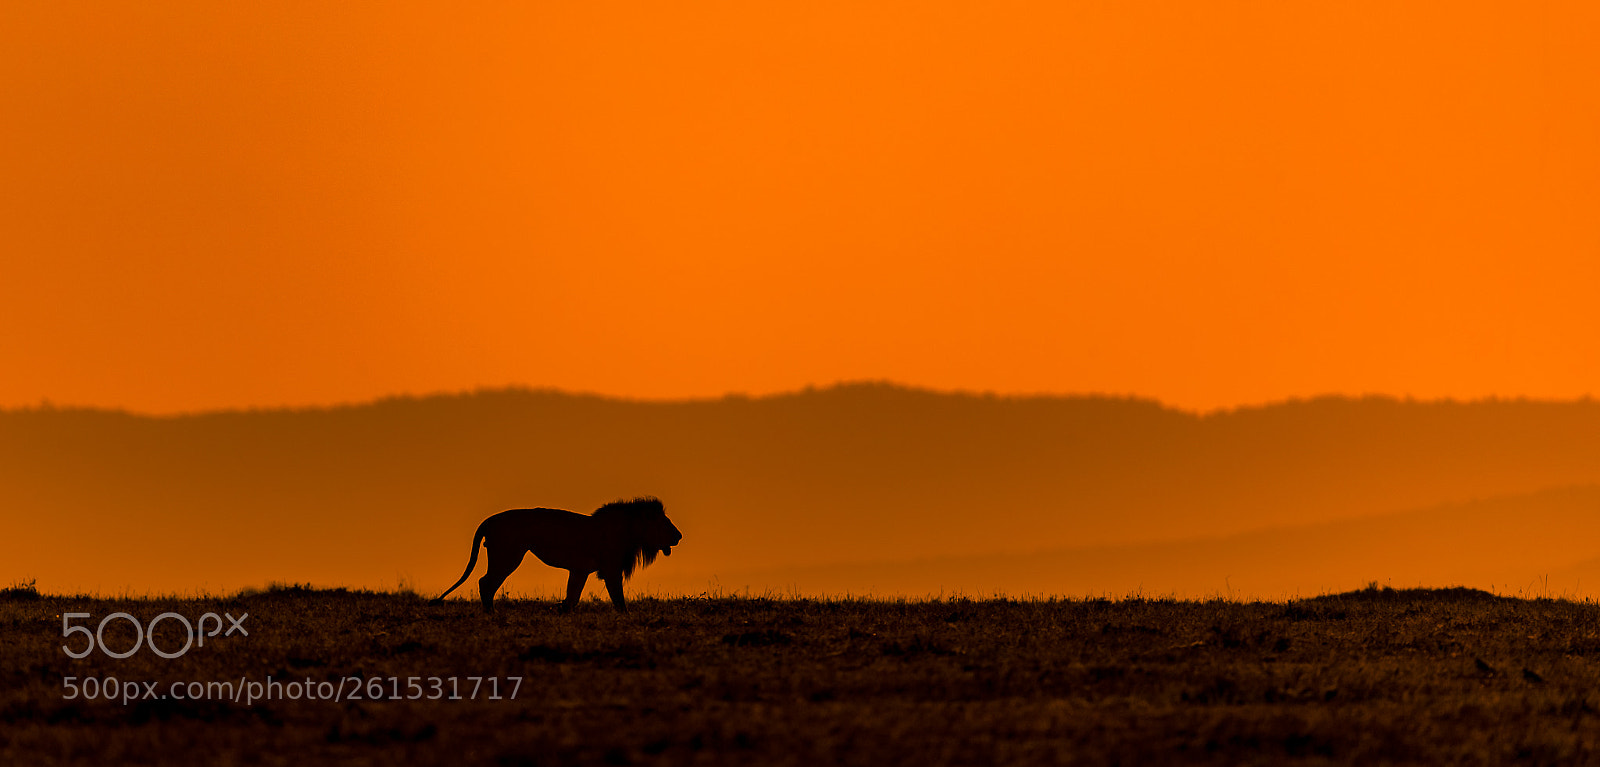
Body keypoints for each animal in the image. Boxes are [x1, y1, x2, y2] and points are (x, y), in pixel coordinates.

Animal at [429, 496, 682, 613]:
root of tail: (490, 520)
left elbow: (573, 596)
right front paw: (627, 617)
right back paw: (492, 613)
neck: (631, 532)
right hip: (508, 555)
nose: (679, 536)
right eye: (664, 523)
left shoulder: (579, 570)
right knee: (485, 582)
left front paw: (562, 612)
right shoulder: (611, 570)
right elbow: (618, 598)